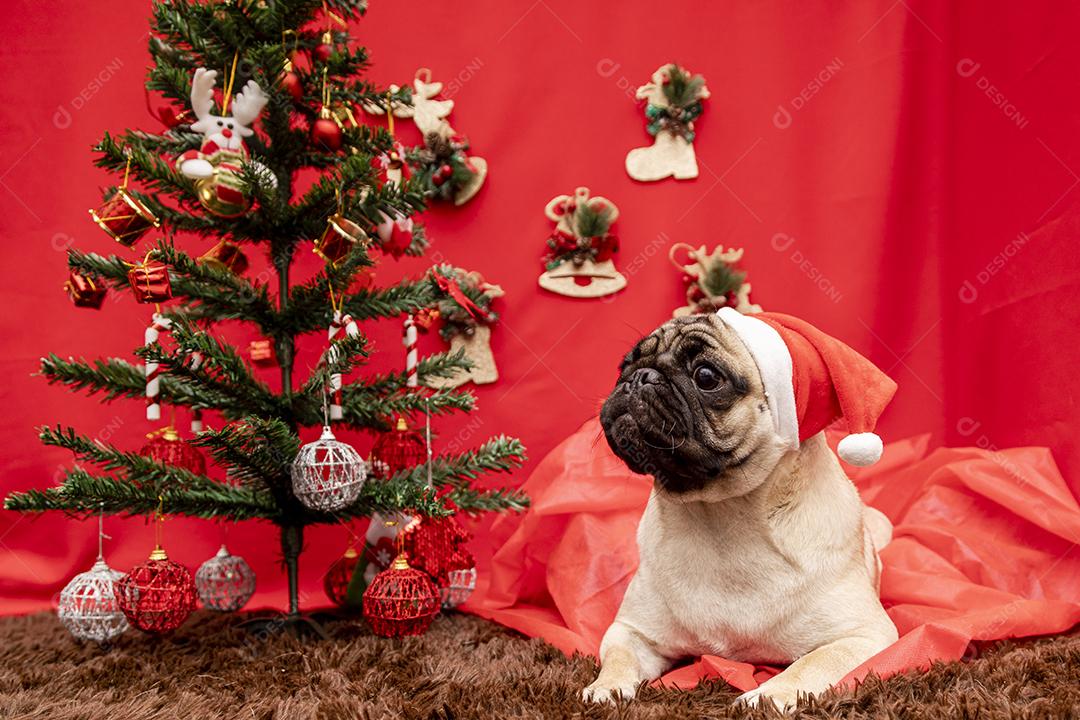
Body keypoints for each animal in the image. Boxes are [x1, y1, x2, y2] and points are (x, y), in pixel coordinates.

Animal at [587, 313, 898, 708]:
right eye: (624, 366)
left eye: (706, 376)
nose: (640, 376)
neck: (719, 516)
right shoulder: (631, 631)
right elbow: (618, 658)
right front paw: (606, 688)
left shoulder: (863, 635)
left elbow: (810, 664)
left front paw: (769, 695)